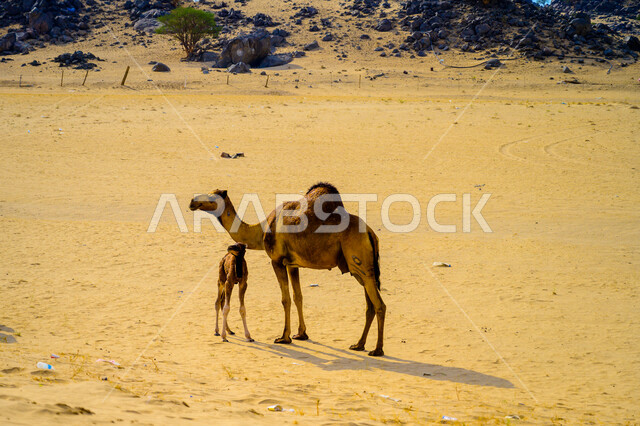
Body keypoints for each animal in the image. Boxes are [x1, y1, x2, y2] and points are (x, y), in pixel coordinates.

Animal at [189, 183, 385, 356]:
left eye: (211, 196)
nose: (192, 201)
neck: (261, 230)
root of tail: (371, 233)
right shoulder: (293, 264)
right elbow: (298, 297)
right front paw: (301, 334)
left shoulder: (277, 261)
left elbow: (285, 299)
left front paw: (284, 337)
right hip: (361, 271)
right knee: (369, 306)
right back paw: (359, 345)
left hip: (361, 264)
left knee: (379, 305)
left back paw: (377, 350)